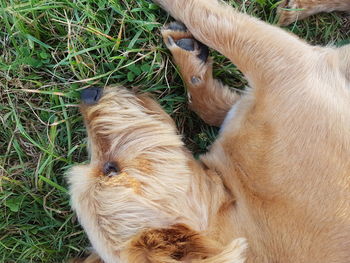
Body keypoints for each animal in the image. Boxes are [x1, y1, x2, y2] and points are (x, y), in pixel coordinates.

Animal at [68, 0, 350, 263]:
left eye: (109, 169)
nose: (88, 94)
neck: (233, 190)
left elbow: (206, 100)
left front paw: (193, 67)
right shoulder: (287, 67)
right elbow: (207, 18)